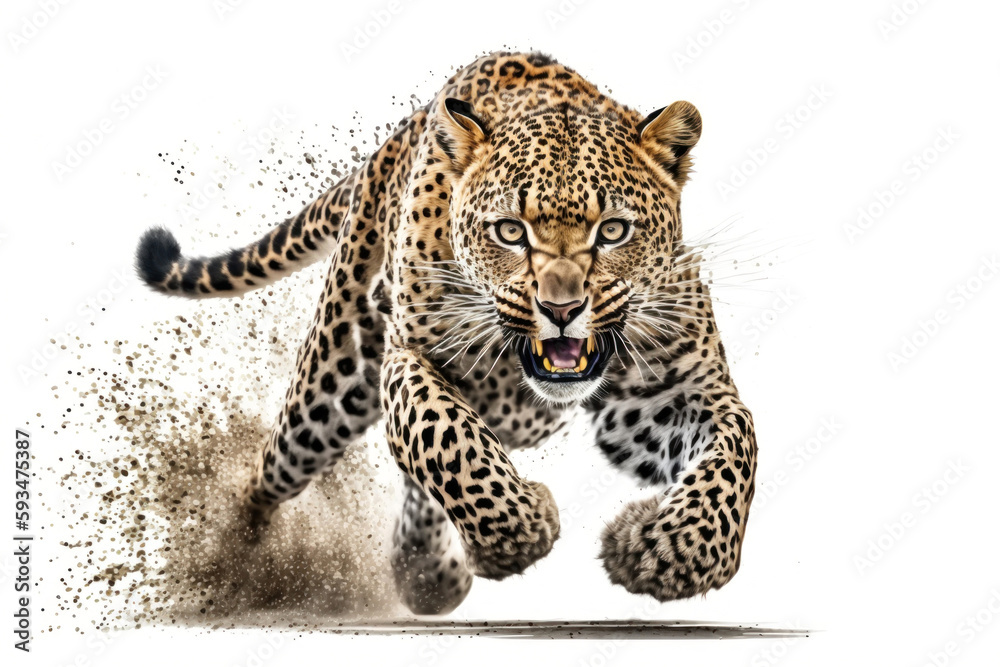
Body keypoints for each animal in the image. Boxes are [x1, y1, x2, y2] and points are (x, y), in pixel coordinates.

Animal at [135, 51, 757, 615]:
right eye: (509, 231)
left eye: (613, 231)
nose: (561, 308)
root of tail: (395, 142)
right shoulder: (408, 357)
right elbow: (445, 436)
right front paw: (517, 532)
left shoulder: (667, 394)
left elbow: (737, 449)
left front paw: (671, 552)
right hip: (333, 383)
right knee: (270, 472)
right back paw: (232, 564)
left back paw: (423, 572)